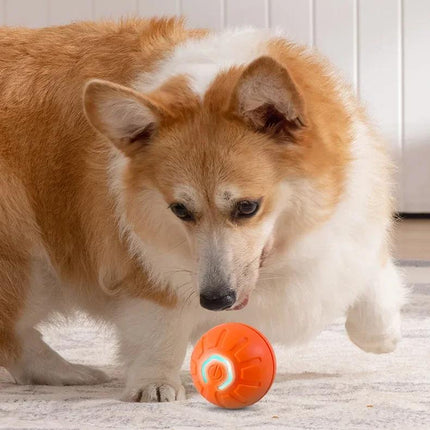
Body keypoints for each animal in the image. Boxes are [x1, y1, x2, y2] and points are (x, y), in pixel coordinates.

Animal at [0, 15, 404, 400]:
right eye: (180, 210)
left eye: (247, 207)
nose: (215, 301)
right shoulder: (147, 270)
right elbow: (159, 331)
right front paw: (154, 385)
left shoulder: (352, 225)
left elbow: (370, 283)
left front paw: (384, 335)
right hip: (27, 262)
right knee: (13, 336)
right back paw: (67, 372)